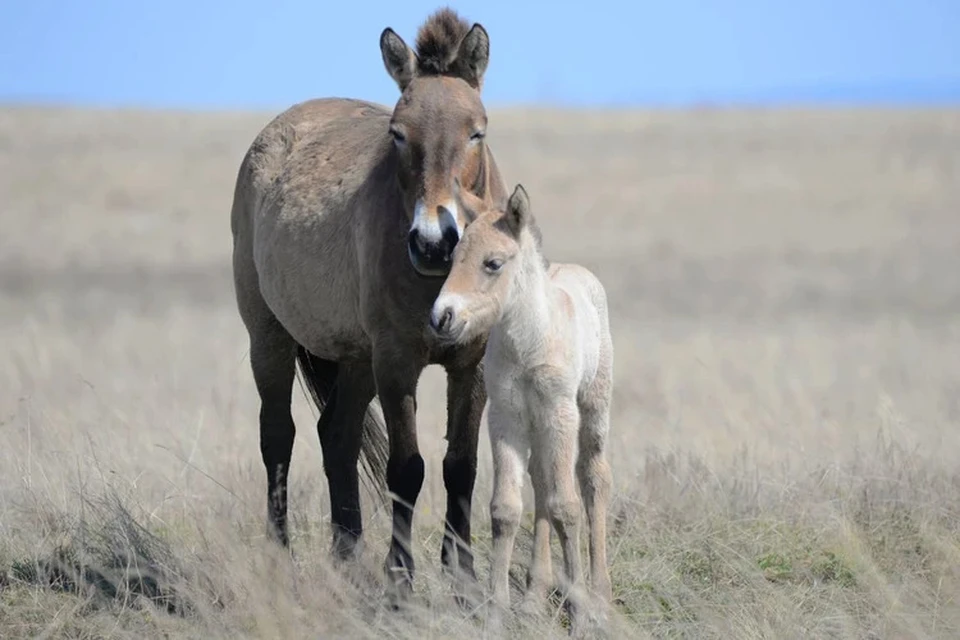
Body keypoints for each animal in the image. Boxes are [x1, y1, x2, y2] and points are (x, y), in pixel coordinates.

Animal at [230, 7, 506, 604]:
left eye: (477, 131)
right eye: (398, 134)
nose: (434, 242)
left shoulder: (471, 363)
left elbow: (461, 466)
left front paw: (463, 580)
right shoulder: (397, 362)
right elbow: (407, 469)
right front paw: (400, 581)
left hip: (356, 360)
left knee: (336, 434)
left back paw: (348, 557)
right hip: (270, 337)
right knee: (278, 435)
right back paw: (282, 558)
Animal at [430, 185, 612, 624]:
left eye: (492, 263)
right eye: (453, 259)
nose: (441, 317)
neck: (529, 344)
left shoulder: (560, 412)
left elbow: (566, 507)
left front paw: (580, 614)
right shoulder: (505, 417)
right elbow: (506, 509)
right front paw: (497, 609)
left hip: (592, 408)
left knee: (593, 478)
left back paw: (600, 595)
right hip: (536, 426)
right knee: (542, 480)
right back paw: (533, 597)